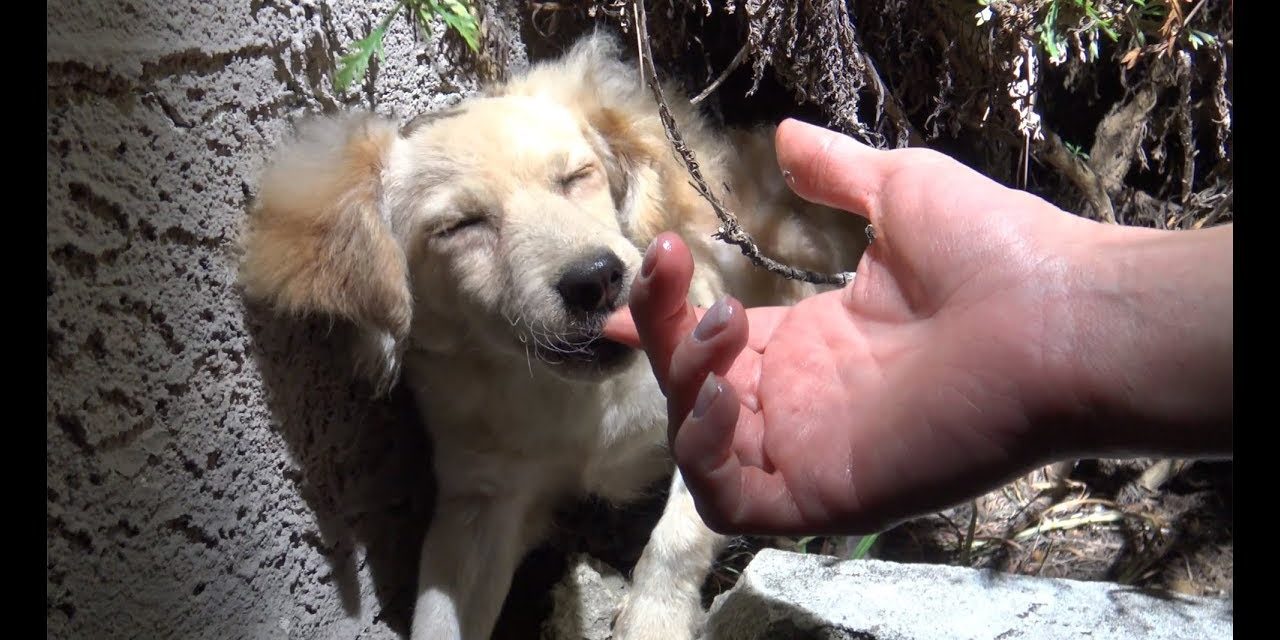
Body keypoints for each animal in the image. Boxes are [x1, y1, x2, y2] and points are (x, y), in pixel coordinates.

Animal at [240, 33, 870, 640]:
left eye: (577, 176)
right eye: (460, 226)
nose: (596, 279)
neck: (577, 404)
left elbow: (678, 537)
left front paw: (652, 622)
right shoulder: (480, 504)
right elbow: (438, 620)